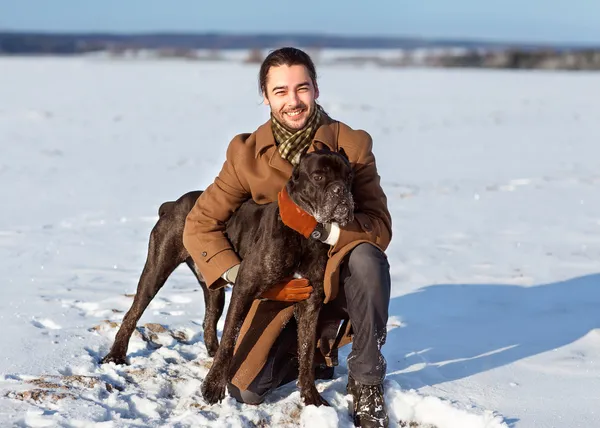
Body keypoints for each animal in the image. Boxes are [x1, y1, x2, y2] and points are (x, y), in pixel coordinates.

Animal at [100, 150, 354, 408]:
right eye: (318, 176)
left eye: (348, 176)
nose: (341, 190)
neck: (303, 231)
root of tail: (173, 204)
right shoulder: (245, 289)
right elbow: (231, 339)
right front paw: (213, 388)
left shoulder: (310, 304)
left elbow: (306, 350)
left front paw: (311, 395)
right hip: (156, 270)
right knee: (133, 312)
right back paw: (116, 355)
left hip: (214, 288)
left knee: (209, 320)